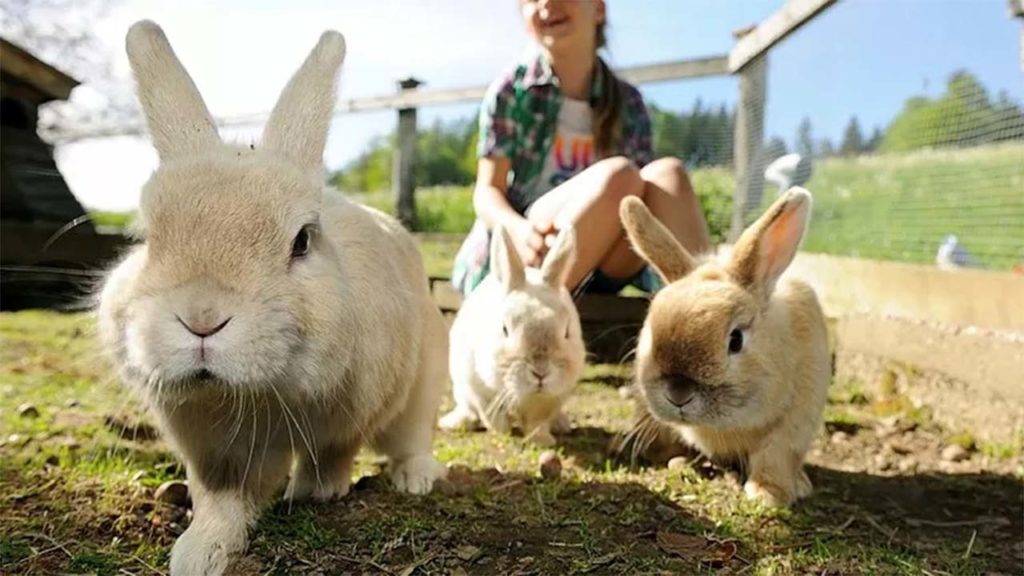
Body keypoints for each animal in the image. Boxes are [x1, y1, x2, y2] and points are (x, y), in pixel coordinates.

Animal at [96, 20, 448, 569]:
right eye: (145, 238)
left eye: (301, 241)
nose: (202, 318)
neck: (257, 395)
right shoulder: (215, 452)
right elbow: (220, 499)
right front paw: (199, 554)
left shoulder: (345, 418)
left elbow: (335, 453)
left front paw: (318, 492)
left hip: (423, 380)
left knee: (410, 435)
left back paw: (415, 478)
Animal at [438, 224, 585, 444]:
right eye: (505, 329)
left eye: (567, 332)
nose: (540, 372)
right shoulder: (477, 388)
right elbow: (491, 415)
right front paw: (503, 433)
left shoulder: (548, 400)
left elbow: (538, 422)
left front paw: (542, 441)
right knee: (468, 409)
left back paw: (562, 425)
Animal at [614, 188, 831, 502]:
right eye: (651, 333)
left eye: (735, 340)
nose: (678, 394)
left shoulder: (794, 422)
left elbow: (775, 456)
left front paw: (768, 494)